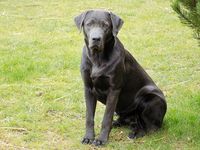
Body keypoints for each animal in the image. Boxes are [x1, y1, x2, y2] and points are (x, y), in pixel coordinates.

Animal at [74, 9, 166, 146]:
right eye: (89, 24)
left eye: (106, 25)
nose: (96, 38)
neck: (98, 58)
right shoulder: (88, 88)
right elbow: (89, 117)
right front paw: (88, 137)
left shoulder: (114, 89)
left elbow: (106, 117)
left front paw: (101, 139)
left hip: (150, 97)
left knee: (149, 127)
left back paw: (135, 133)